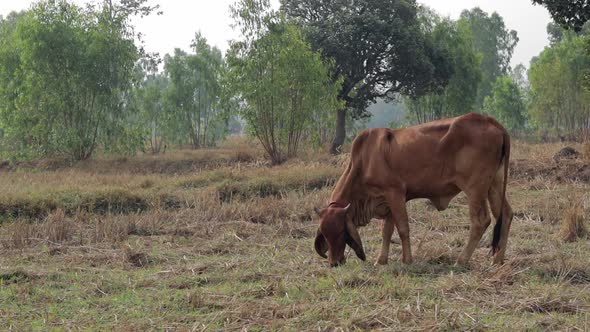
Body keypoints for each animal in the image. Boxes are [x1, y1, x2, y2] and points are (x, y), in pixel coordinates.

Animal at [314, 113, 512, 268]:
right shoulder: (387, 202)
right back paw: (497, 260)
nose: (334, 263)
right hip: (494, 184)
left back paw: (461, 260)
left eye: (341, 232)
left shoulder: (395, 194)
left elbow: (402, 228)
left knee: (481, 221)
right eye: (325, 233)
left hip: (475, 188)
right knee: (506, 215)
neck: (363, 161)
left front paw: (407, 260)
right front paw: (381, 260)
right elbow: (387, 232)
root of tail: (492, 122)